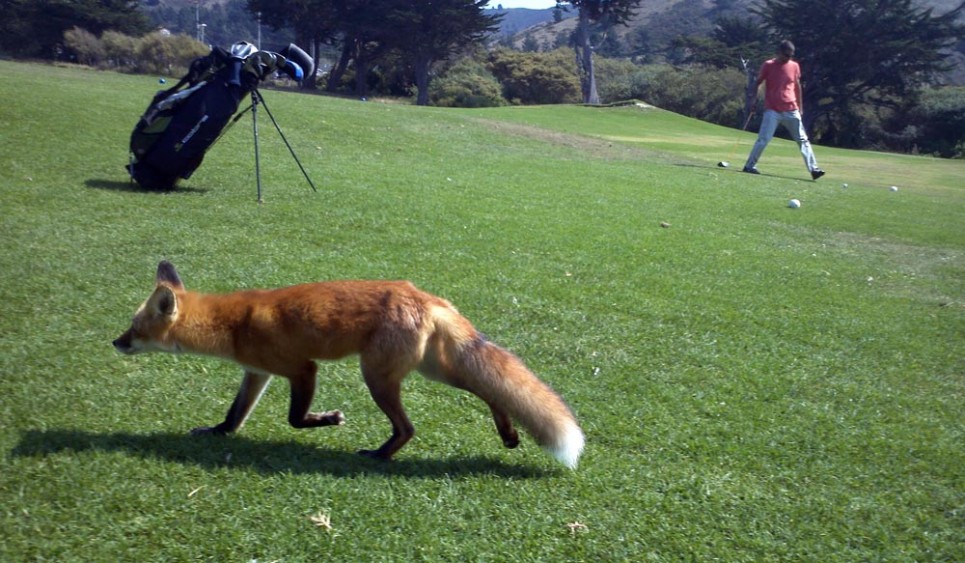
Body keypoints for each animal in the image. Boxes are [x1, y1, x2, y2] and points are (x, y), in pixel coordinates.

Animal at [113, 262, 580, 470]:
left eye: (134, 328)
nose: (115, 342)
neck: (232, 324)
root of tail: (425, 297)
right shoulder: (257, 373)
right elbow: (234, 415)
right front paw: (216, 432)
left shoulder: (302, 369)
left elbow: (295, 418)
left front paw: (329, 419)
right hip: (433, 370)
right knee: (489, 389)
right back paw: (508, 433)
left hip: (376, 376)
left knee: (409, 428)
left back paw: (380, 455)